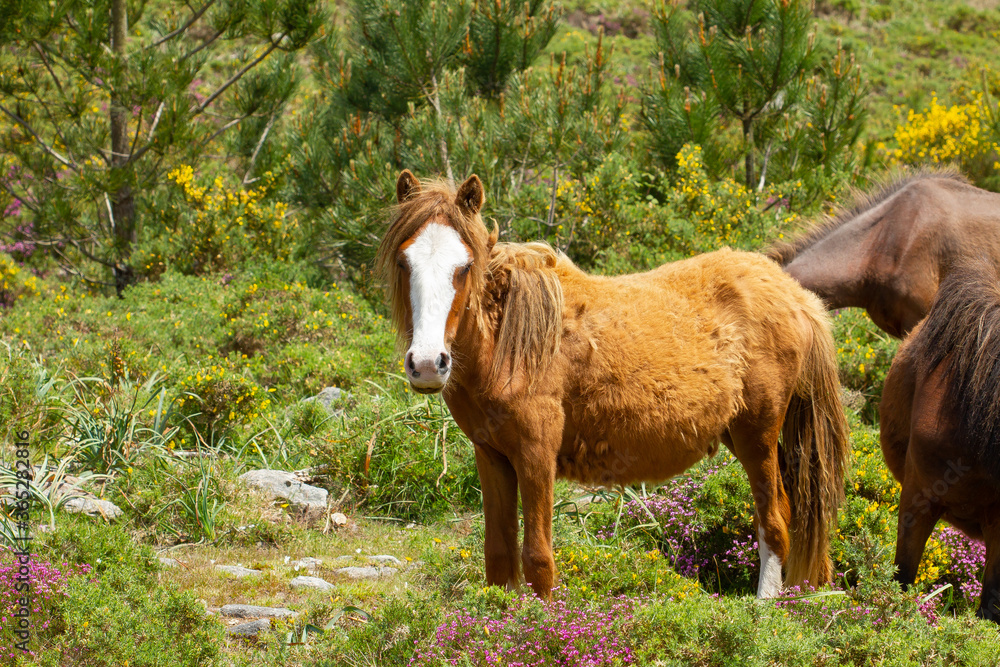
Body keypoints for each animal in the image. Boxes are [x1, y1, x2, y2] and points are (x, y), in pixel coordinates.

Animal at [377, 169, 850, 599]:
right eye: (404, 262)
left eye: (465, 266)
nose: (427, 364)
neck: (508, 341)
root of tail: (796, 296)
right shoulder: (492, 455)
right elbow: (498, 557)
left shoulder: (535, 454)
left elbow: (538, 559)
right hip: (739, 434)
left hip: (758, 435)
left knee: (774, 520)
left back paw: (767, 607)